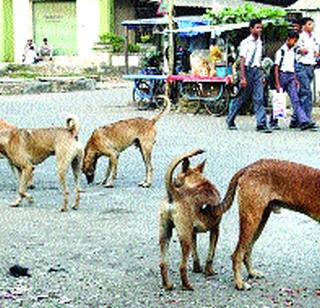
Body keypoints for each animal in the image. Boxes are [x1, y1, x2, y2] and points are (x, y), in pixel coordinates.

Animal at [159, 149, 221, 292]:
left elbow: (195, 254)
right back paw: (187, 285)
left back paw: (168, 285)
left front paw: (197, 268)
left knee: (163, 263)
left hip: (165, 234)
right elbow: (211, 253)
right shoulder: (215, 229)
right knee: (182, 266)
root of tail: (174, 194)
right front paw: (209, 271)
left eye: (176, 178)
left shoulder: (192, 233)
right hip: (184, 238)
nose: (174, 181)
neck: (198, 182)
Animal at [214, 160, 320, 290]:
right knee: (237, 255)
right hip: (251, 220)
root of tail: (248, 167)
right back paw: (240, 284)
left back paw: (252, 273)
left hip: (260, 222)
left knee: (247, 251)